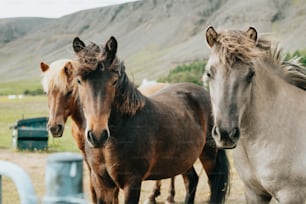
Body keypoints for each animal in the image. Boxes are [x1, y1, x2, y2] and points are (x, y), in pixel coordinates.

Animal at [71, 36, 230, 204]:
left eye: (114, 81)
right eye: (79, 81)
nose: (97, 135)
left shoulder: (132, 183)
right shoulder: (102, 184)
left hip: (209, 155)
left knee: (213, 184)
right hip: (184, 158)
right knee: (191, 180)